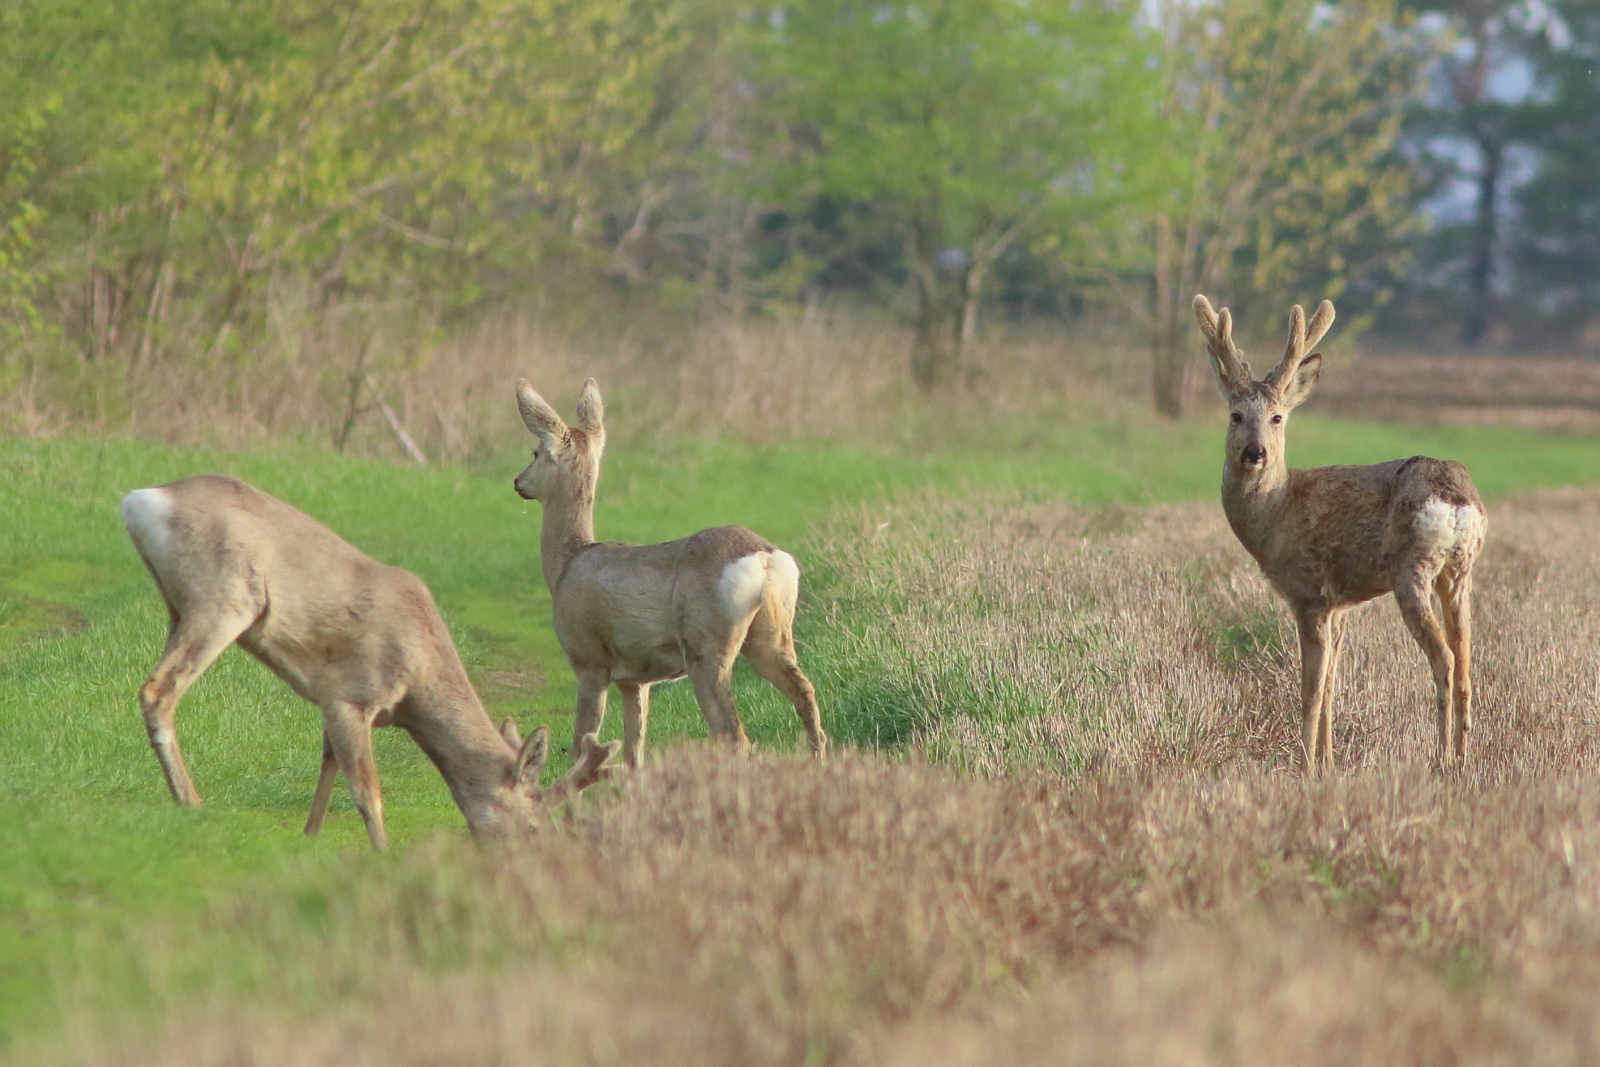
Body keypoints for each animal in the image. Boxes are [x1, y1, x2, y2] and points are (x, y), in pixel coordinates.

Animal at [118, 476, 614, 851]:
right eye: (533, 821)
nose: (533, 856)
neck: (418, 682)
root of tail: (140, 501)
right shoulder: (350, 695)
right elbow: (366, 791)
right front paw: (383, 856)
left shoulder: (331, 701)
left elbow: (328, 767)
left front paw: (310, 839)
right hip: (222, 601)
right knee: (158, 690)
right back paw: (191, 802)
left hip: (179, 607)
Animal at [512, 375, 832, 767]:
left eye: (535, 452)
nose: (518, 482)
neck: (567, 563)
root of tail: (765, 559)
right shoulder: (635, 678)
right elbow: (634, 751)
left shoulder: (588, 661)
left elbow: (582, 745)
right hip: (771, 636)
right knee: (806, 698)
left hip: (706, 648)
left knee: (734, 735)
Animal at [1190, 295, 1484, 771]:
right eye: (1235, 415)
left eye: (1277, 417)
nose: (1255, 452)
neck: (1276, 512)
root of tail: (1457, 500)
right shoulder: (1341, 603)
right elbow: (1331, 684)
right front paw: (1328, 762)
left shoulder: (1308, 592)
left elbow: (1310, 690)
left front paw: (1306, 764)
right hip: (1459, 573)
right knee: (1466, 663)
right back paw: (1461, 756)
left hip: (1411, 567)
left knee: (1444, 657)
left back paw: (1439, 759)